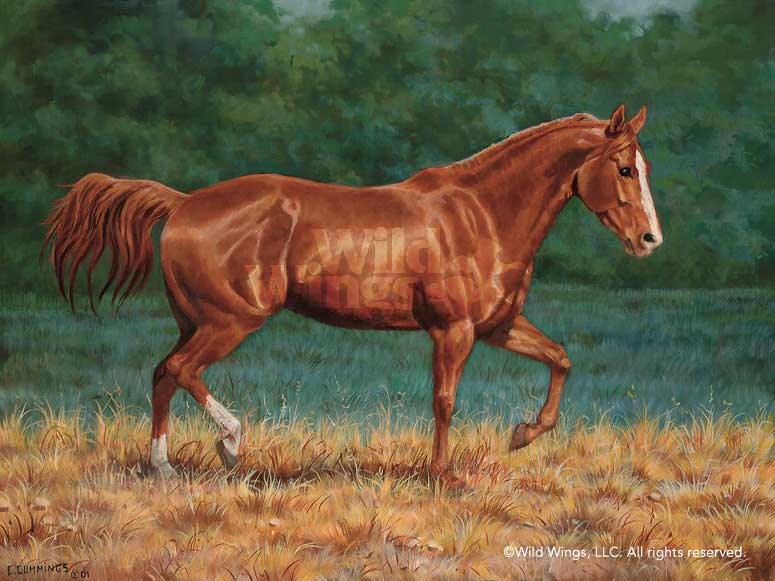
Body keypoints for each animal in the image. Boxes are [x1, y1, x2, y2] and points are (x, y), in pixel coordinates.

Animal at [42, 104, 662, 484]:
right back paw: (231, 443)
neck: (482, 213)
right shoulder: (454, 331)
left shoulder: (498, 326)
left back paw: (164, 467)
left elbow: (560, 358)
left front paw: (523, 435)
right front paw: (442, 474)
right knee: (180, 370)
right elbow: (445, 401)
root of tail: (184, 203)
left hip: (195, 320)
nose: (649, 239)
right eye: (624, 169)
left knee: (161, 376)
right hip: (230, 321)